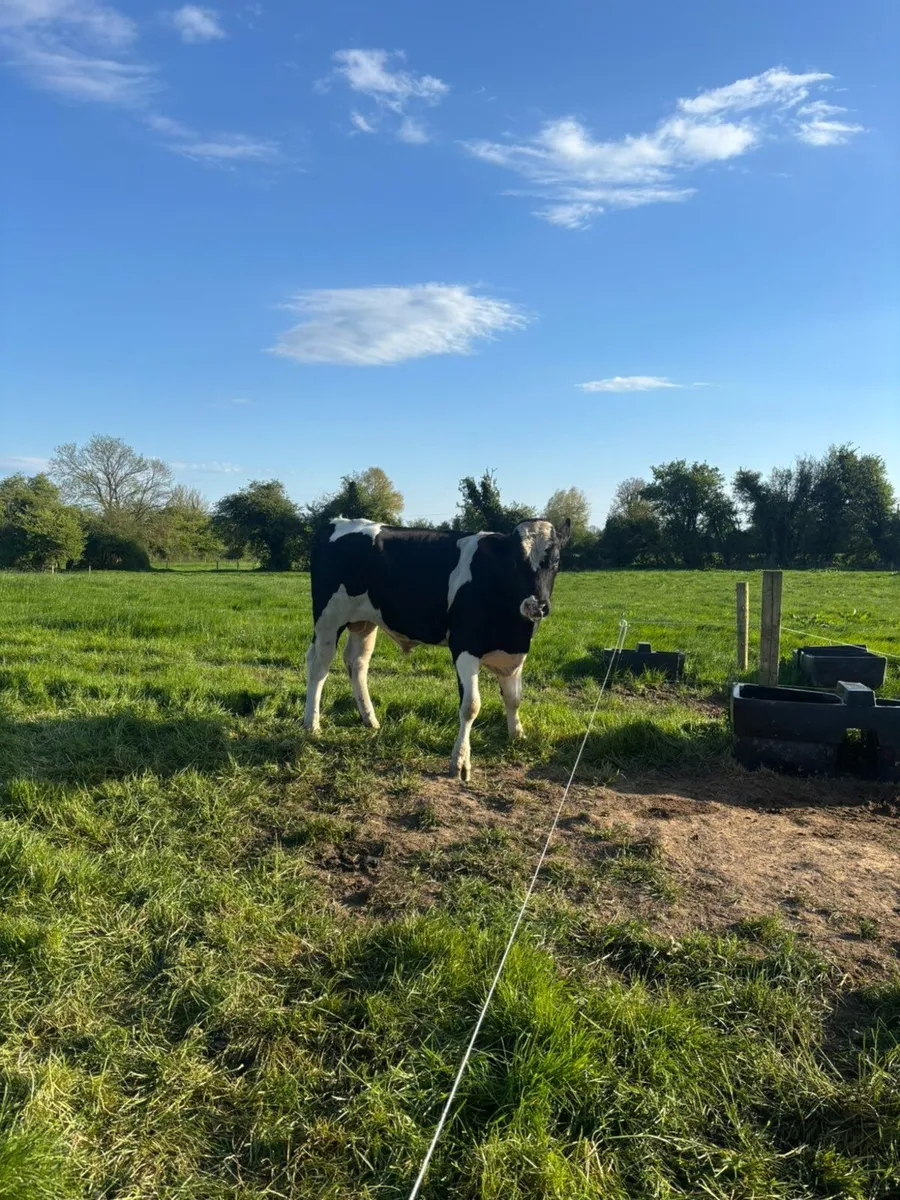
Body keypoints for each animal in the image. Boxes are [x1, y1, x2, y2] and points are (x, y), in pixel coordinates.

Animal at [303, 516, 570, 780]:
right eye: (514, 562)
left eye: (556, 561)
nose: (536, 606)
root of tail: (339, 521)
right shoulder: (464, 646)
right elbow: (471, 705)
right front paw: (460, 761)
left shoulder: (515, 653)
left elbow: (514, 698)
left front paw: (517, 735)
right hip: (328, 619)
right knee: (318, 665)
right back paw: (311, 724)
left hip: (364, 623)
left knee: (357, 663)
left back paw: (370, 719)